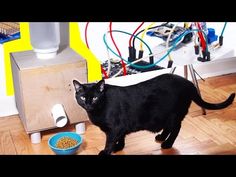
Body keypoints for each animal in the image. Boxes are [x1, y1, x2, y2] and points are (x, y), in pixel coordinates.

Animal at [73, 73, 235, 155]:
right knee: (169, 127)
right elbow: (121, 138)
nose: (88, 104)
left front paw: (106, 152)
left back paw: (167, 143)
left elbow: (110, 141)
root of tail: (189, 83)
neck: (100, 107)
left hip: (174, 114)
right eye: (83, 97)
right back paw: (161, 137)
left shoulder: (114, 128)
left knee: (176, 129)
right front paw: (119, 148)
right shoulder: (120, 127)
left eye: (95, 97)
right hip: (167, 116)